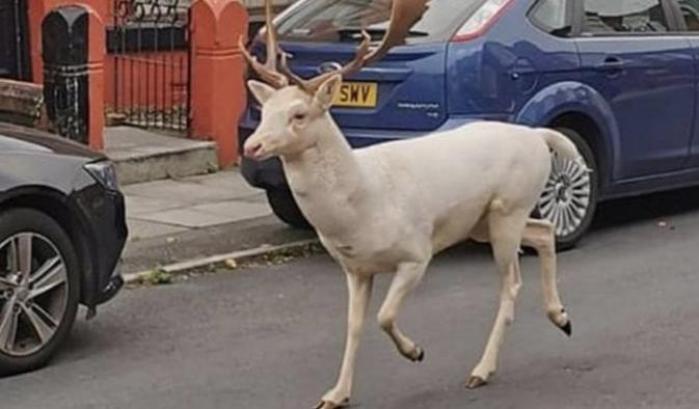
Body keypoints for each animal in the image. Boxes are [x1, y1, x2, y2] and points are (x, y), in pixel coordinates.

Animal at [242, 1, 580, 406]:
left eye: (299, 114)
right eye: (265, 112)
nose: (252, 146)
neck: (364, 204)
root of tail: (538, 135)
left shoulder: (417, 253)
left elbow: (384, 316)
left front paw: (415, 351)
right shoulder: (355, 269)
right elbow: (354, 326)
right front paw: (336, 394)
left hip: (509, 209)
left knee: (511, 282)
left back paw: (482, 369)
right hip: (482, 222)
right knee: (544, 231)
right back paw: (561, 317)